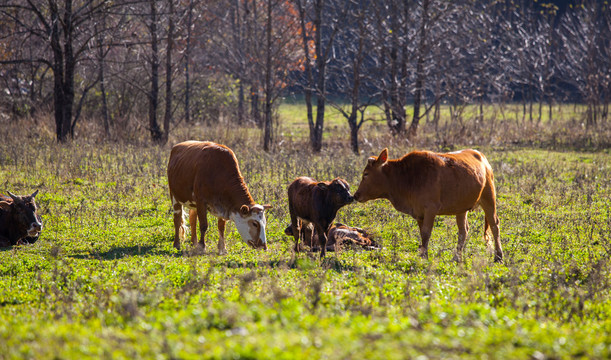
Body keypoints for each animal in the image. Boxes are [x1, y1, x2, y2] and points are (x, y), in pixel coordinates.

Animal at [352, 148, 504, 262]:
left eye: (366, 174)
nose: (355, 195)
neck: (407, 177)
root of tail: (482, 157)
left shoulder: (430, 209)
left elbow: (426, 232)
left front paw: (424, 256)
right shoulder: (419, 213)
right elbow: (422, 234)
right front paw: (423, 254)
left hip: (489, 198)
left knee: (494, 225)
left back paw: (498, 256)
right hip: (461, 208)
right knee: (463, 230)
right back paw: (457, 257)